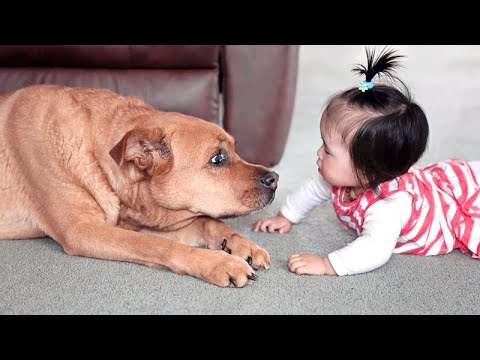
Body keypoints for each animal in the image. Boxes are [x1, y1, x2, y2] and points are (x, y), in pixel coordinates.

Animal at [0, 84, 278, 286]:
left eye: (235, 149)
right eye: (218, 158)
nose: (275, 179)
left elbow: (207, 222)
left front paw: (240, 243)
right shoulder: (80, 230)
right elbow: (158, 245)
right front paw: (218, 263)